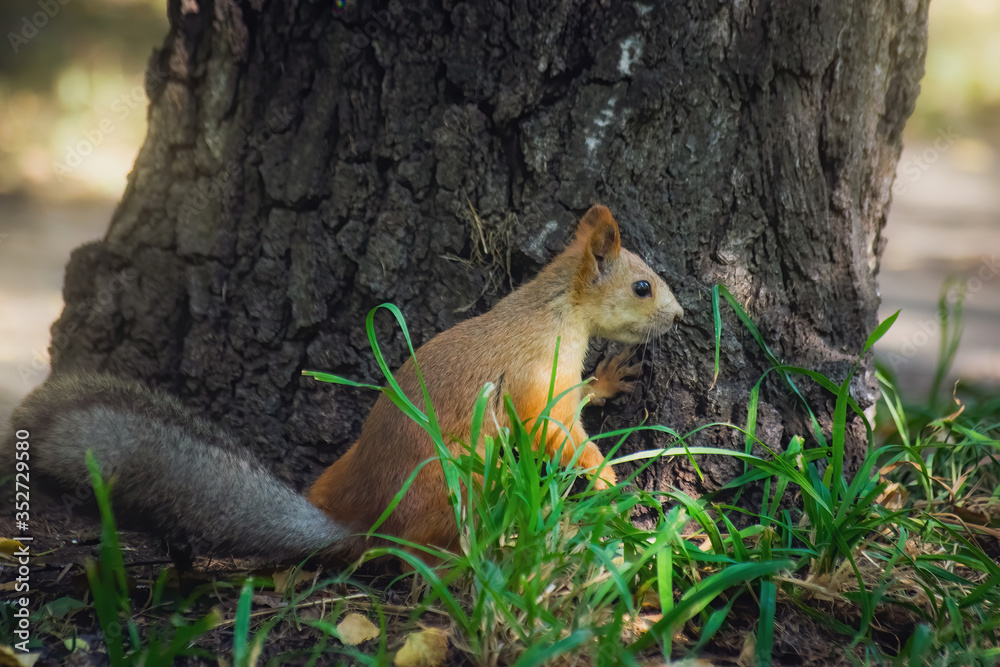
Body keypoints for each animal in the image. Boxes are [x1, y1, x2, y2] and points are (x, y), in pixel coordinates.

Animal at [5, 204, 684, 564]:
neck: (554, 313)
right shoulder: (534, 386)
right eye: (642, 286)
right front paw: (608, 478)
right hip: (451, 478)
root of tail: (365, 524)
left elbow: (582, 398)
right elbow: (558, 432)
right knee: (428, 550)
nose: (680, 316)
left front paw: (609, 377)